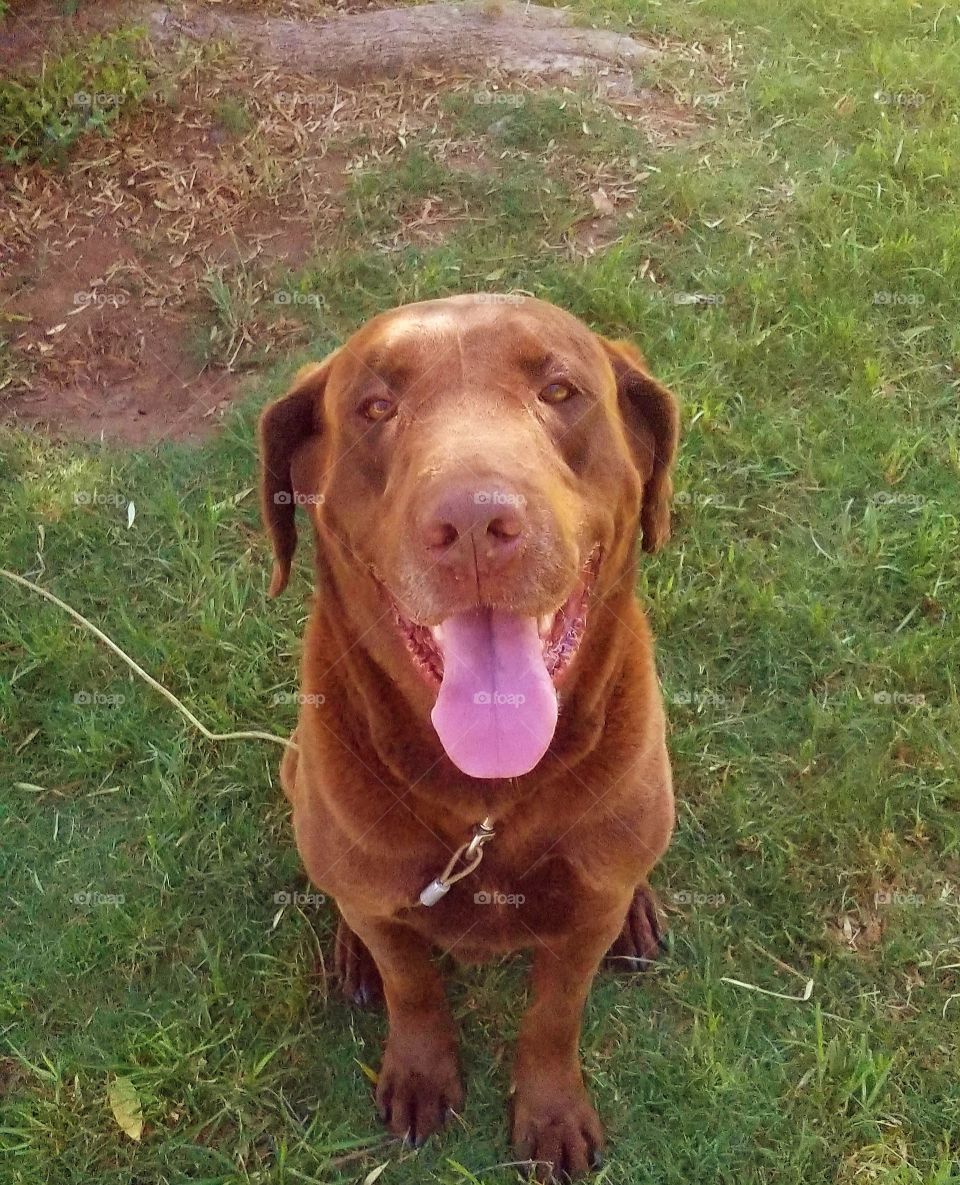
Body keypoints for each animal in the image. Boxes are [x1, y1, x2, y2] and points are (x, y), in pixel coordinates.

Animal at [258, 293, 677, 1175]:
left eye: (560, 390)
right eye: (375, 407)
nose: (477, 522)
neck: (486, 794)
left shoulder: (580, 922)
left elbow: (555, 1013)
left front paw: (551, 1113)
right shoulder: (383, 898)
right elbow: (410, 980)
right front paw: (420, 1070)